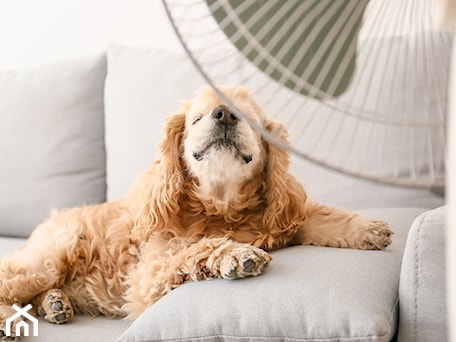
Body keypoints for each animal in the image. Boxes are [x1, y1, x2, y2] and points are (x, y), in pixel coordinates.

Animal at [0, 86, 392, 340]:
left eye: (249, 118)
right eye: (197, 118)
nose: (224, 115)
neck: (221, 206)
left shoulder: (281, 216)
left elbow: (322, 217)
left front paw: (368, 229)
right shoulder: (150, 273)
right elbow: (196, 248)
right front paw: (237, 254)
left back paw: (54, 304)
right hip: (52, 255)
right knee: (8, 282)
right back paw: (11, 320)